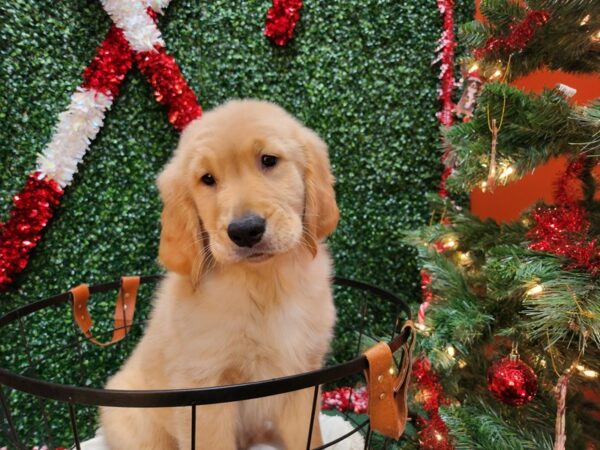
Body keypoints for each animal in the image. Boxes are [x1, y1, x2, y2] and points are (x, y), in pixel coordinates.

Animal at [101, 99, 340, 450]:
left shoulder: (301, 380)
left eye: (268, 160)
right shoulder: (205, 394)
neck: (264, 284)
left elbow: (309, 439)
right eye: (207, 179)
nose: (245, 230)